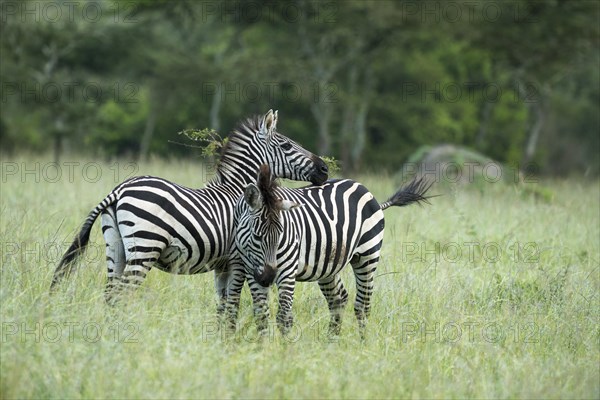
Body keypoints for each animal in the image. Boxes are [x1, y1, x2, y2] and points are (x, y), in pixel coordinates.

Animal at [51, 109, 330, 304]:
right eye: (286, 145)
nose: (325, 169)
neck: (237, 189)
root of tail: (118, 190)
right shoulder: (239, 259)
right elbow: (234, 300)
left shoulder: (223, 264)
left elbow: (224, 302)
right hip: (144, 246)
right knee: (124, 293)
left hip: (115, 245)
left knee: (111, 294)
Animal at [225, 164, 432, 336]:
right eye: (257, 236)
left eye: (281, 235)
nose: (267, 278)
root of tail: (362, 187)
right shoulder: (250, 269)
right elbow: (261, 314)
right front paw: (263, 347)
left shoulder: (287, 270)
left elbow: (284, 317)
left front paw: (284, 351)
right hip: (328, 265)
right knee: (338, 299)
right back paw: (331, 342)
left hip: (368, 256)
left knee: (362, 305)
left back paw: (362, 343)